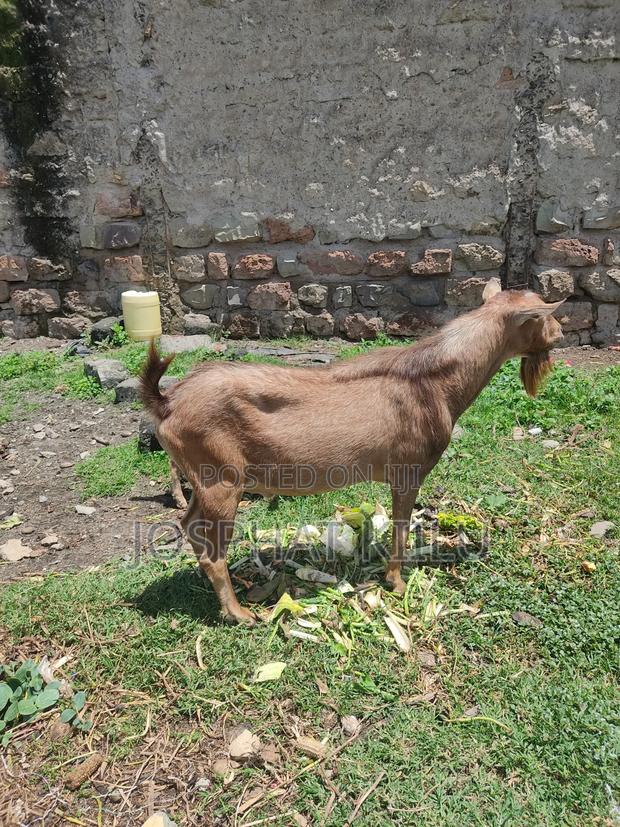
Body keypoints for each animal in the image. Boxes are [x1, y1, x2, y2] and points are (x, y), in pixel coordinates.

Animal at [140, 281, 564, 624]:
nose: (560, 332)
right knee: (210, 547)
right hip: (222, 480)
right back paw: (238, 613)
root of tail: (167, 402)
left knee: (189, 525)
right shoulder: (408, 471)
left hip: (205, 478)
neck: (434, 383)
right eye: (544, 314)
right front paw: (396, 582)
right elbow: (400, 528)